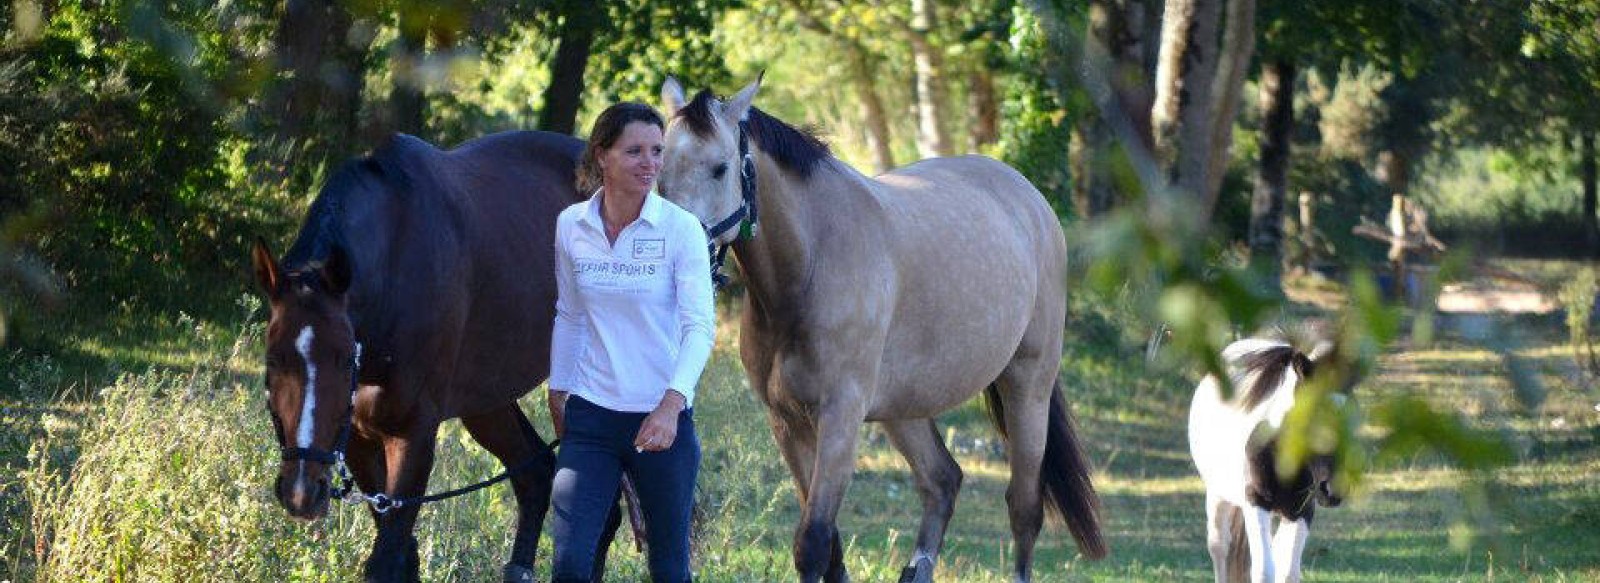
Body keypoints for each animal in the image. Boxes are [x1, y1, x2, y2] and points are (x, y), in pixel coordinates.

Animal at [251, 132, 624, 583]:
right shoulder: (355, 437)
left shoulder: (412, 435)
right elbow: (402, 554)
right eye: (273, 360)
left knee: (603, 514)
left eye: (343, 359)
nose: (302, 492)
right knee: (535, 475)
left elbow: (388, 558)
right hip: (487, 399)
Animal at [656, 78, 1107, 583]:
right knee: (942, 482)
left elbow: (813, 542)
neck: (812, 263)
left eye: (719, 168)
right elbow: (829, 547)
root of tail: (1029, 198)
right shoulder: (788, 422)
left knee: (1023, 509)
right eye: (659, 169)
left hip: (1027, 387)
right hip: (905, 407)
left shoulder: (840, 417)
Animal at [1190, 336, 1350, 583]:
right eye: (1313, 416)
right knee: (1220, 548)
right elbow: (1264, 570)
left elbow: (1288, 572)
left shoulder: (1302, 512)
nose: (1334, 490)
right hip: (1218, 495)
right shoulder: (1257, 503)